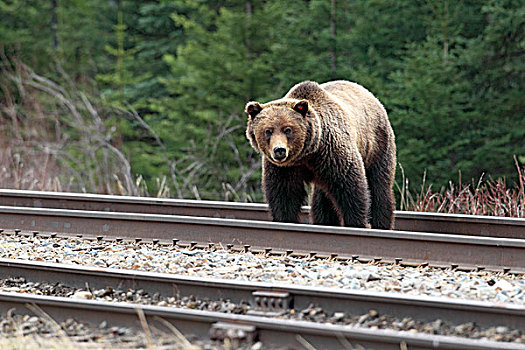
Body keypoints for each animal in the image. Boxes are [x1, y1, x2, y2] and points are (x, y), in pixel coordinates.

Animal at [246, 80, 398, 231]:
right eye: (268, 131)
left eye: (287, 129)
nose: (279, 150)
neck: (306, 154)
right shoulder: (284, 168)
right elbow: (283, 193)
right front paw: (284, 219)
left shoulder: (331, 152)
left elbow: (350, 186)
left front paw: (357, 222)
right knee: (323, 198)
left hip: (377, 144)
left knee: (379, 185)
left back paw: (382, 223)